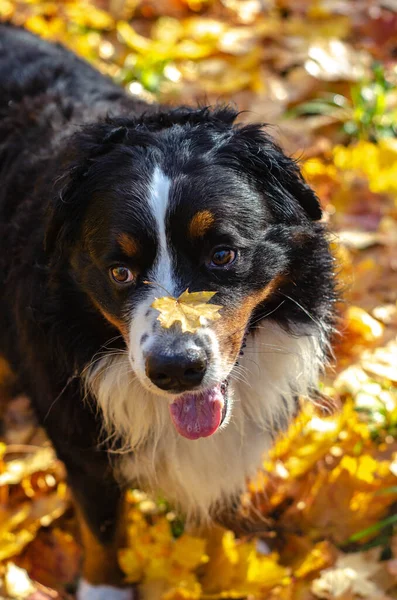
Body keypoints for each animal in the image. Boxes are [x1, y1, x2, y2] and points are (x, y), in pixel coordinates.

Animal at [0, 23, 334, 600]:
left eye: (222, 255)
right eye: (120, 272)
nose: (176, 370)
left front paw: (232, 561)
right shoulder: (79, 437)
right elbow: (101, 525)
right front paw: (104, 588)